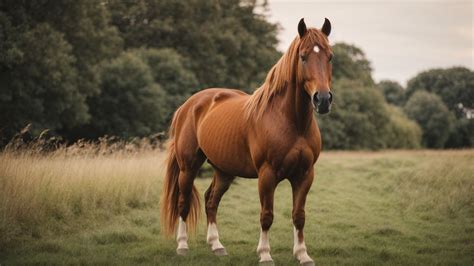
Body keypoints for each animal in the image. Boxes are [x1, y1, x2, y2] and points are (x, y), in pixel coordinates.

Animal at [161, 17, 332, 264]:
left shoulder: (305, 174)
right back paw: (182, 246)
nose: (323, 100)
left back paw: (217, 245)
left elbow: (299, 216)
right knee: (183, 203)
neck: (291, 122)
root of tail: (189, 105)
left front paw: (302, 255)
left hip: (224, 171)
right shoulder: (267, 175)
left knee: (211, 200)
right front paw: (265, 254)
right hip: (188, 167)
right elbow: (266, 215)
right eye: (303, 56)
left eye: (330, 56)